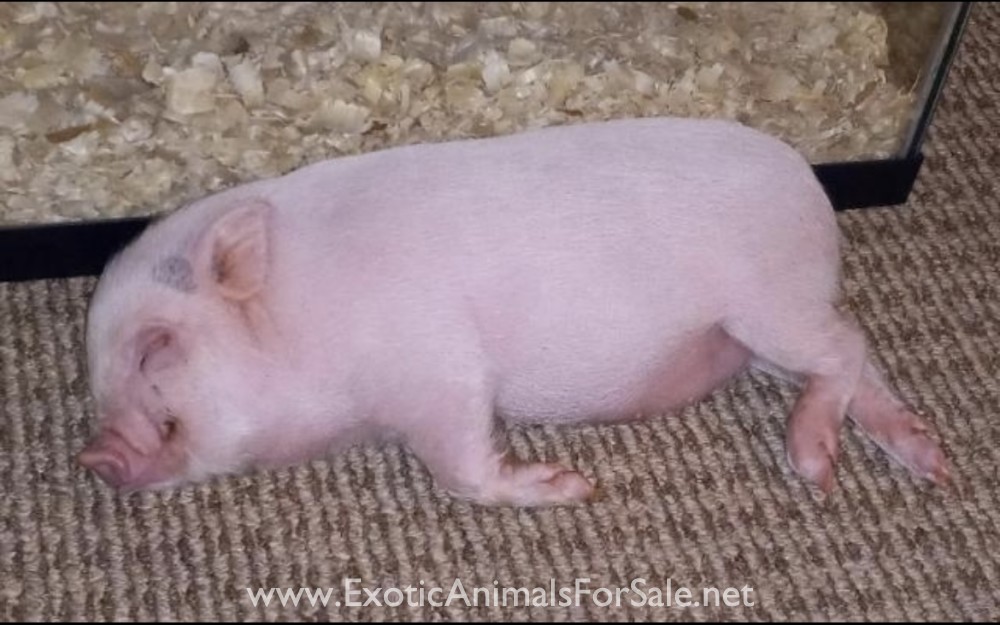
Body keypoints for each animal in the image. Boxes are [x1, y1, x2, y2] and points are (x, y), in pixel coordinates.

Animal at [78, 116, 950, 506]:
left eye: (154, 347)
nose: (94, 454)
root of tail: (809, 186)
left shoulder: (443, 365)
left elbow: (461, 465)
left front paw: (572, 486)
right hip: (771, 328)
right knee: (860, 357)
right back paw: (930, 459)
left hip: (766, 301)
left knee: (847, 345)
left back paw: (815, 467)